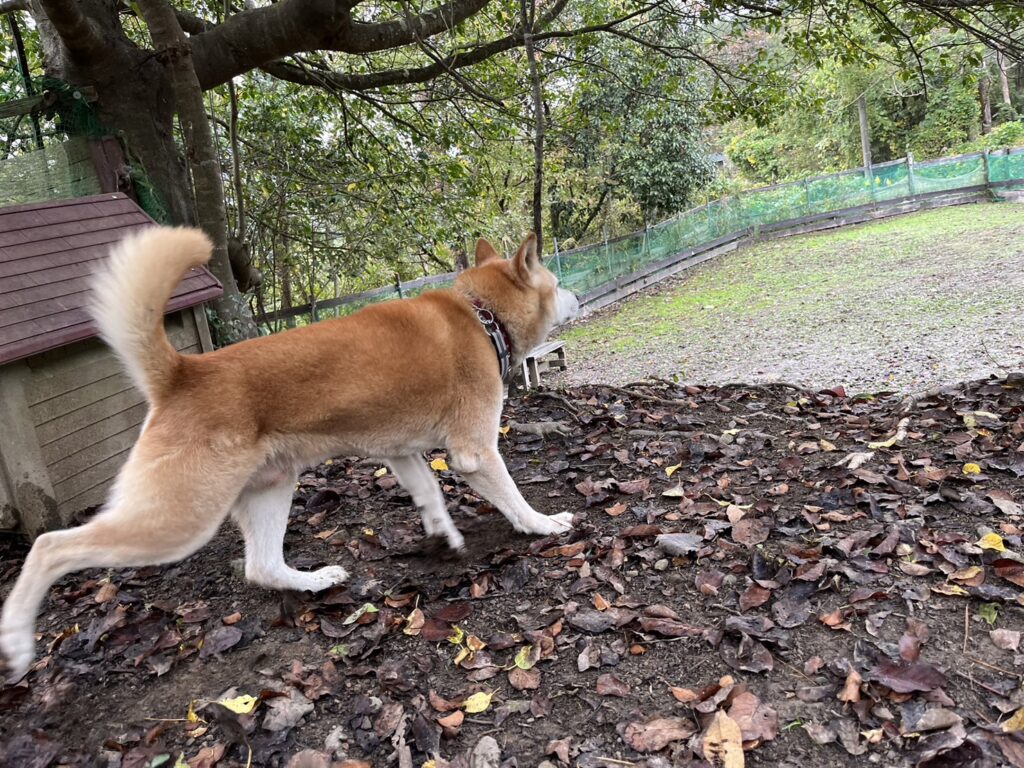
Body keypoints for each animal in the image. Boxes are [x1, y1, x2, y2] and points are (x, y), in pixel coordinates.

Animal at [0, 227, 579, 679]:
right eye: (556, 284)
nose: (575, 297)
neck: (481, 317)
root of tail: (183, 372)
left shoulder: (400, 454)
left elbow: (430, 496)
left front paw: (445, 538)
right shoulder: (474, 452)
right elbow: (514, 501)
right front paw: (544, 525)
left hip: (270, 489)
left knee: (262, 567)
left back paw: (315, 579)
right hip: (177, 521)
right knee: (50, 546)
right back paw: (17, 639)